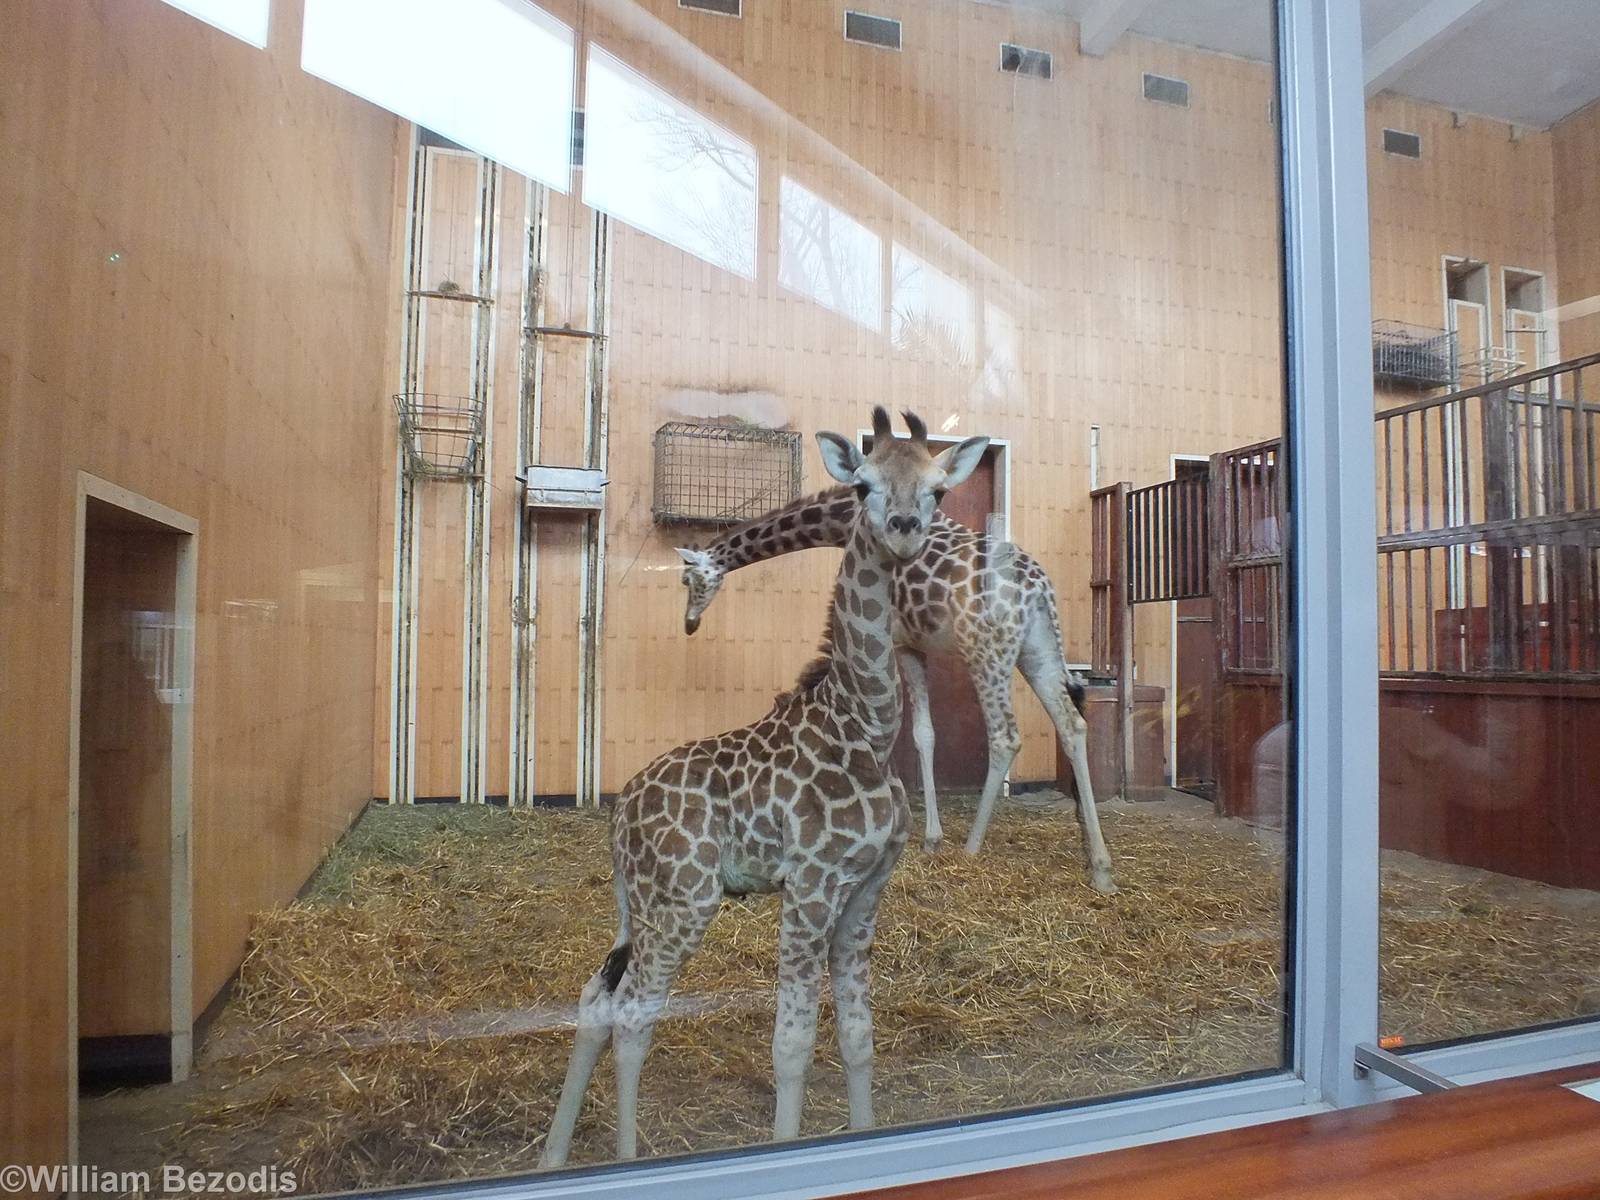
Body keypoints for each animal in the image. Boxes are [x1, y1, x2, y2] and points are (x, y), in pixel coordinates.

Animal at [540, 409, 990, 1167]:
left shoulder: (867, 888)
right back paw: (625, 1159)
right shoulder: (809, 886)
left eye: (936, 489)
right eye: (863, 484)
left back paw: (552, 1157)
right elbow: (791, 1046)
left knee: (596, 997)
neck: (863, 729)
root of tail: (620, 814)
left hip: (643, 905)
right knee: (633, 1013)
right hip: (684, 900)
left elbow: (858, 1037)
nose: (904, 527)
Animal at [675, 414, 1115, 893]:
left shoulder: (899, 641)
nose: (689, 623)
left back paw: (972, 848)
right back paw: (1100, 865)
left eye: (687, 581)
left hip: (987, 650)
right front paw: (929, 837)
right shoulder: (915, 644)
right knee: (1072, 725)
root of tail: (1039, 590)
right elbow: (926, 734)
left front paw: (927, 838)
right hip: (1038, 649)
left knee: (1005, 736)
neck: (838, 521)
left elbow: (913, 730)